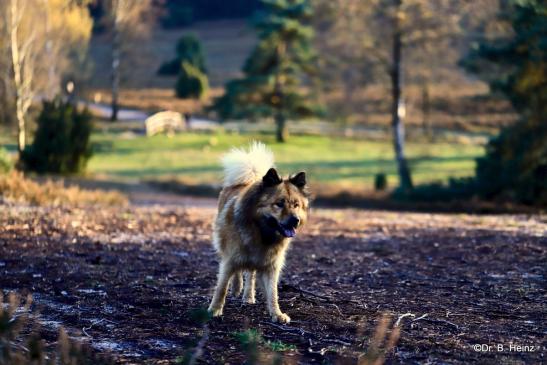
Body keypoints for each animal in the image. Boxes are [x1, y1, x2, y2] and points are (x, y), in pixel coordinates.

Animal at [209, 141, 310, 322]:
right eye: (279, 204)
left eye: (296, 205)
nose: (296, 220)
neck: (261, 232)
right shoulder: (230, 259)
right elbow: (222, 287)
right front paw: (214, 310)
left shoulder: (271, 265)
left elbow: (273, 292)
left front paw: (276, 314)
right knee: (239, 273)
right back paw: (237, 288)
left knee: (250, 275)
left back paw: (248, 296)